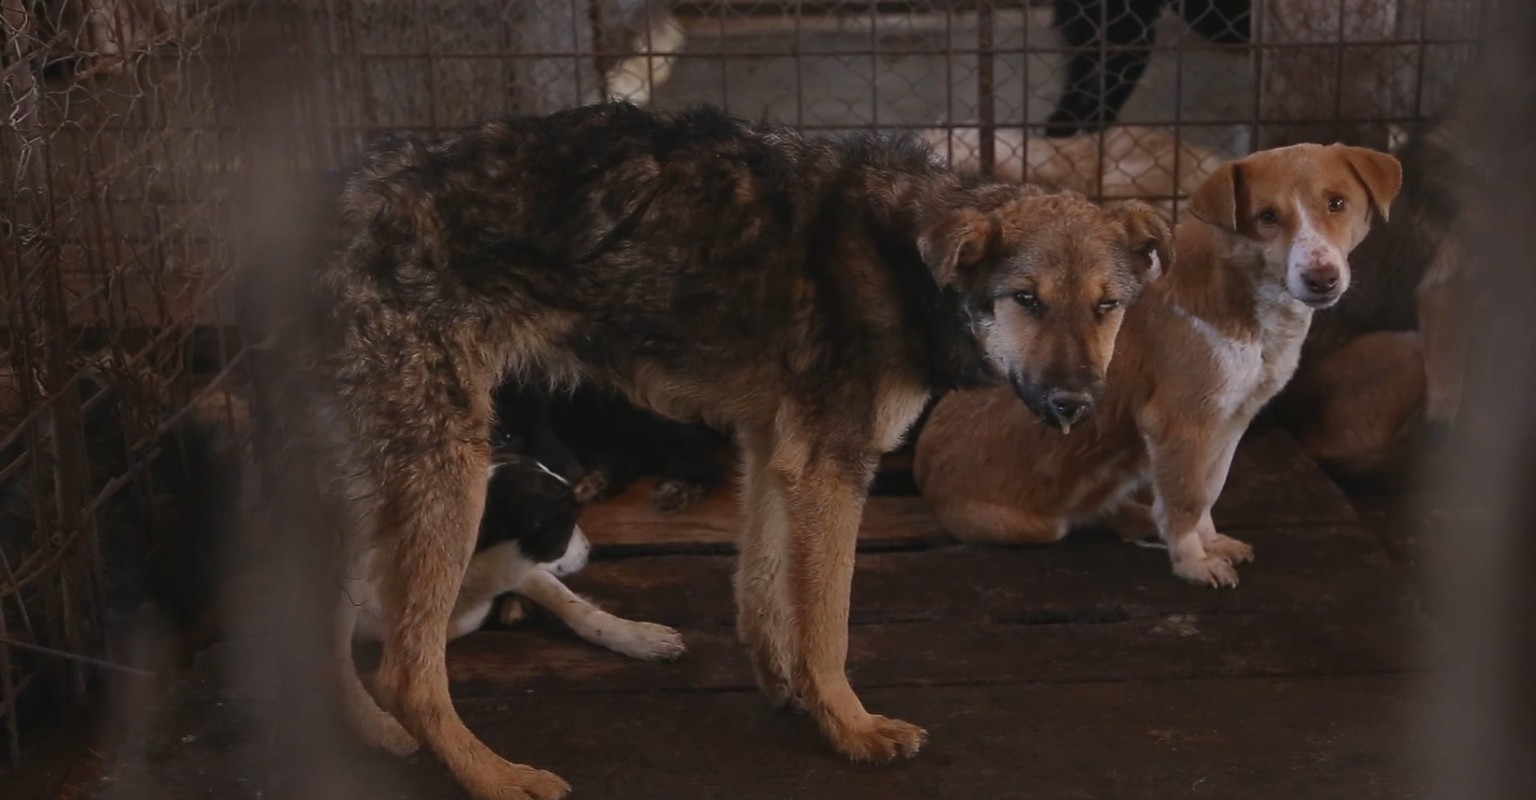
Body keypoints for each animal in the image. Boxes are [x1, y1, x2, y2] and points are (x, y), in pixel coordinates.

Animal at [909, 142, 1406, 586]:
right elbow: (1186, 500)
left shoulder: (1230, 421)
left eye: (1337, 203)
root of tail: (921, 472)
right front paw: (1193, 563)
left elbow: (1206, 490)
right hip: (1041, 526)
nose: (1322, 278)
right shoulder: (1178, 422)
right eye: (1267, 216)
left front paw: (1208, 542)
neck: (1246, 294)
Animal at [1044, 0, 1247, 136]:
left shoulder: (1133, 40)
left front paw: (1097, 117)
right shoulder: (1078, 33)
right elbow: (1077, 78)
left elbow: (1116, 80)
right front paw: (1064, 119)